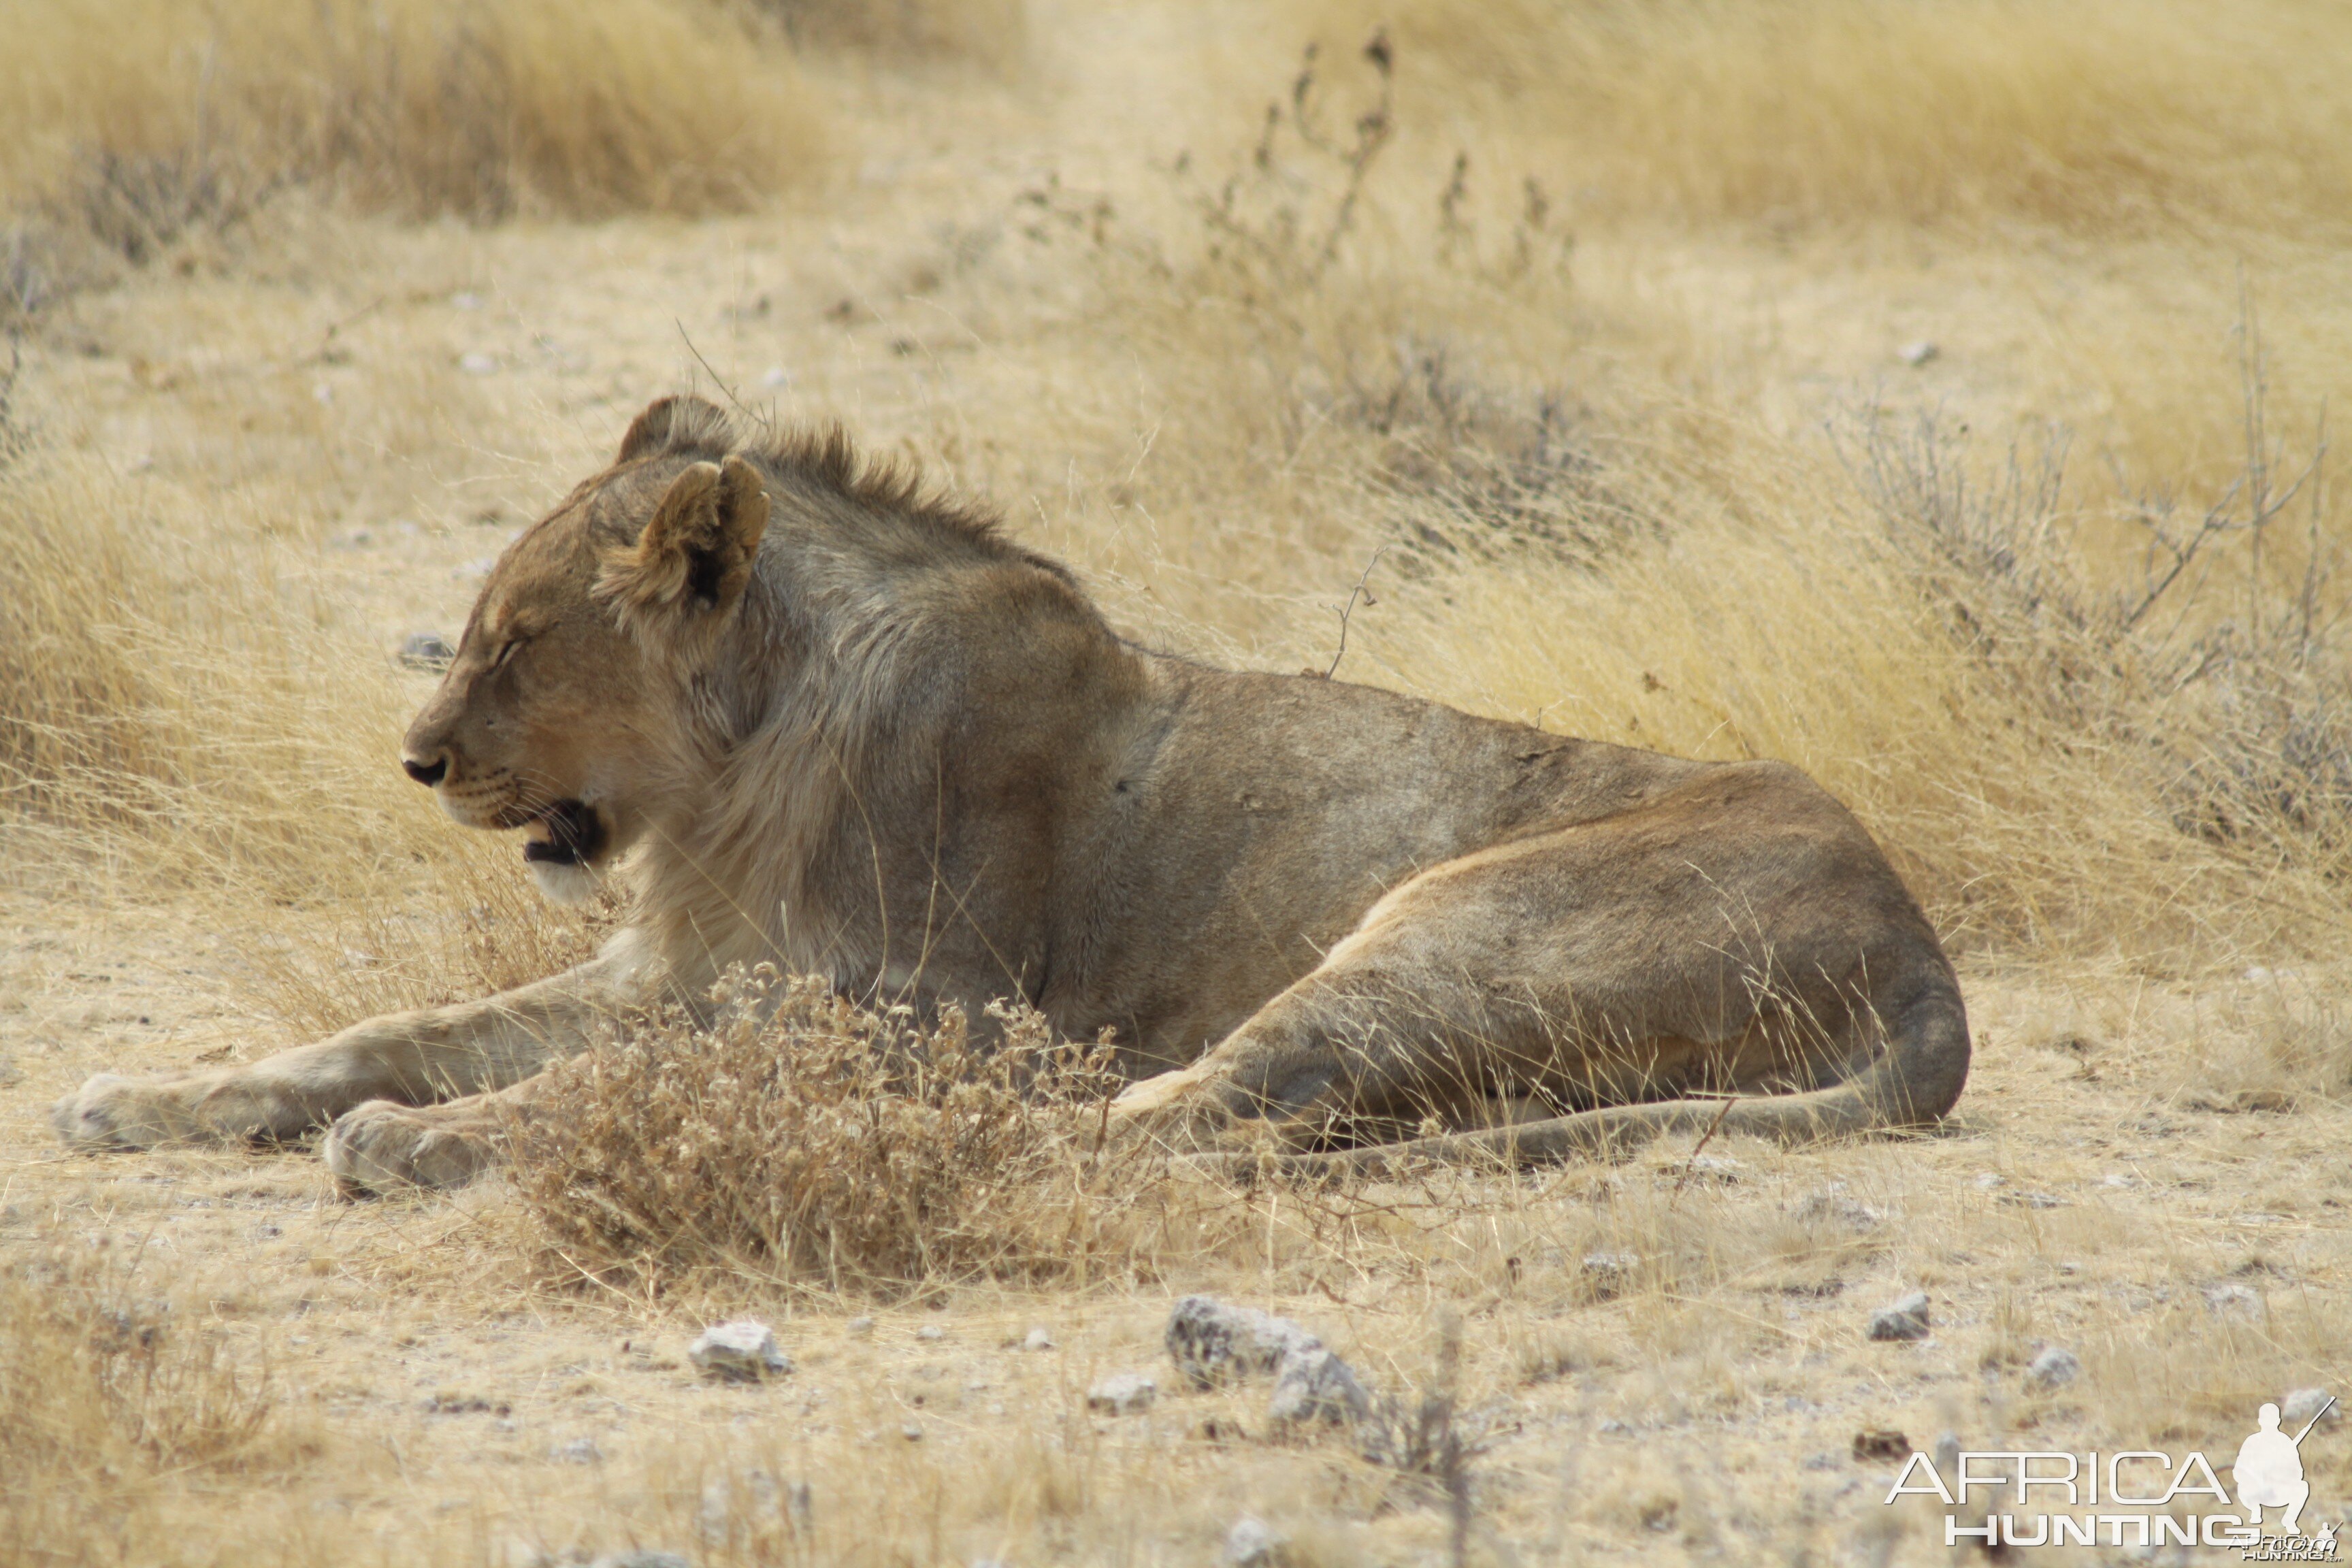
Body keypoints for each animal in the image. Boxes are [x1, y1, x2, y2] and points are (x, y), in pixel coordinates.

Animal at [55, 392, 1966, 1189]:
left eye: (515, 641)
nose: (419, 762)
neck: (738, 768)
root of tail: (1923, 954)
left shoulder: (923, 1006)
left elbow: (576, 1083)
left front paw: (430, 1139)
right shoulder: (673, 972)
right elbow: (390, 1031)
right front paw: (153, 1097)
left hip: (1448, 923)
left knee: (1196, 1110)